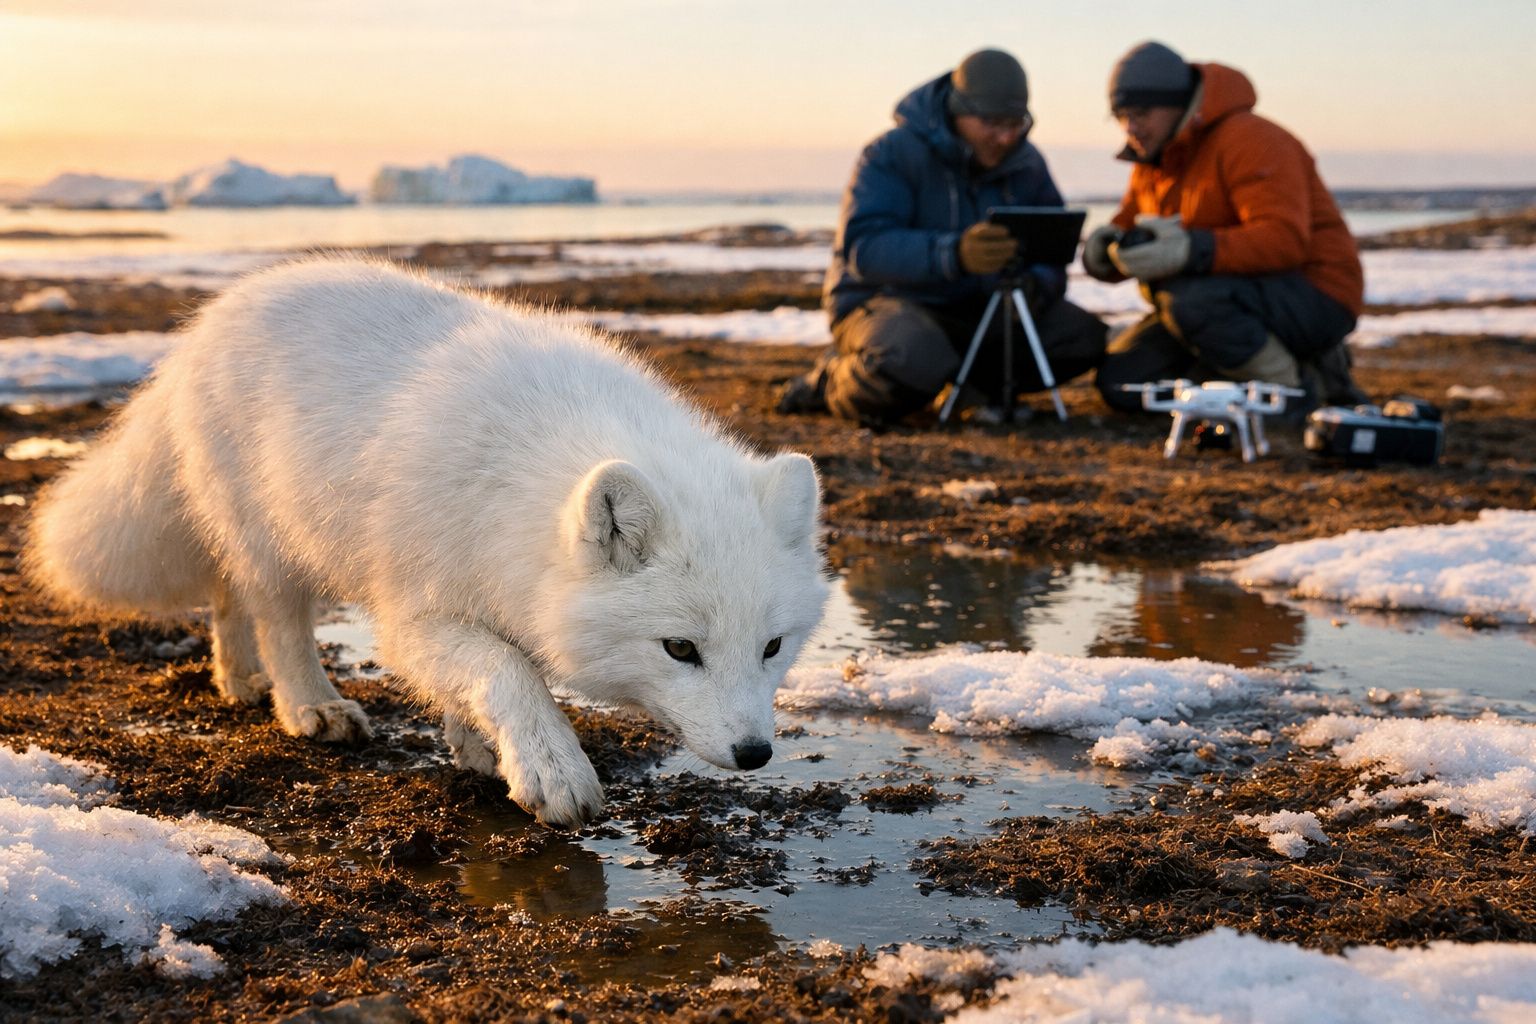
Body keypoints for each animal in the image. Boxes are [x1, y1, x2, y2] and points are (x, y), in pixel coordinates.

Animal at [27, 257, 829, 826]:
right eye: (680, 649)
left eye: (772, 647)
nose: (755, 755)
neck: (517, 487)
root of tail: (205, 324)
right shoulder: (410, 612)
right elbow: (507, 669)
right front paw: (551, 768)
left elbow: (486, 668)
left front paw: (478, 747)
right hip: (275, 539)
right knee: (274, 616)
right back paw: (308, 705)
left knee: (226, 596)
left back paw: (239, 680)